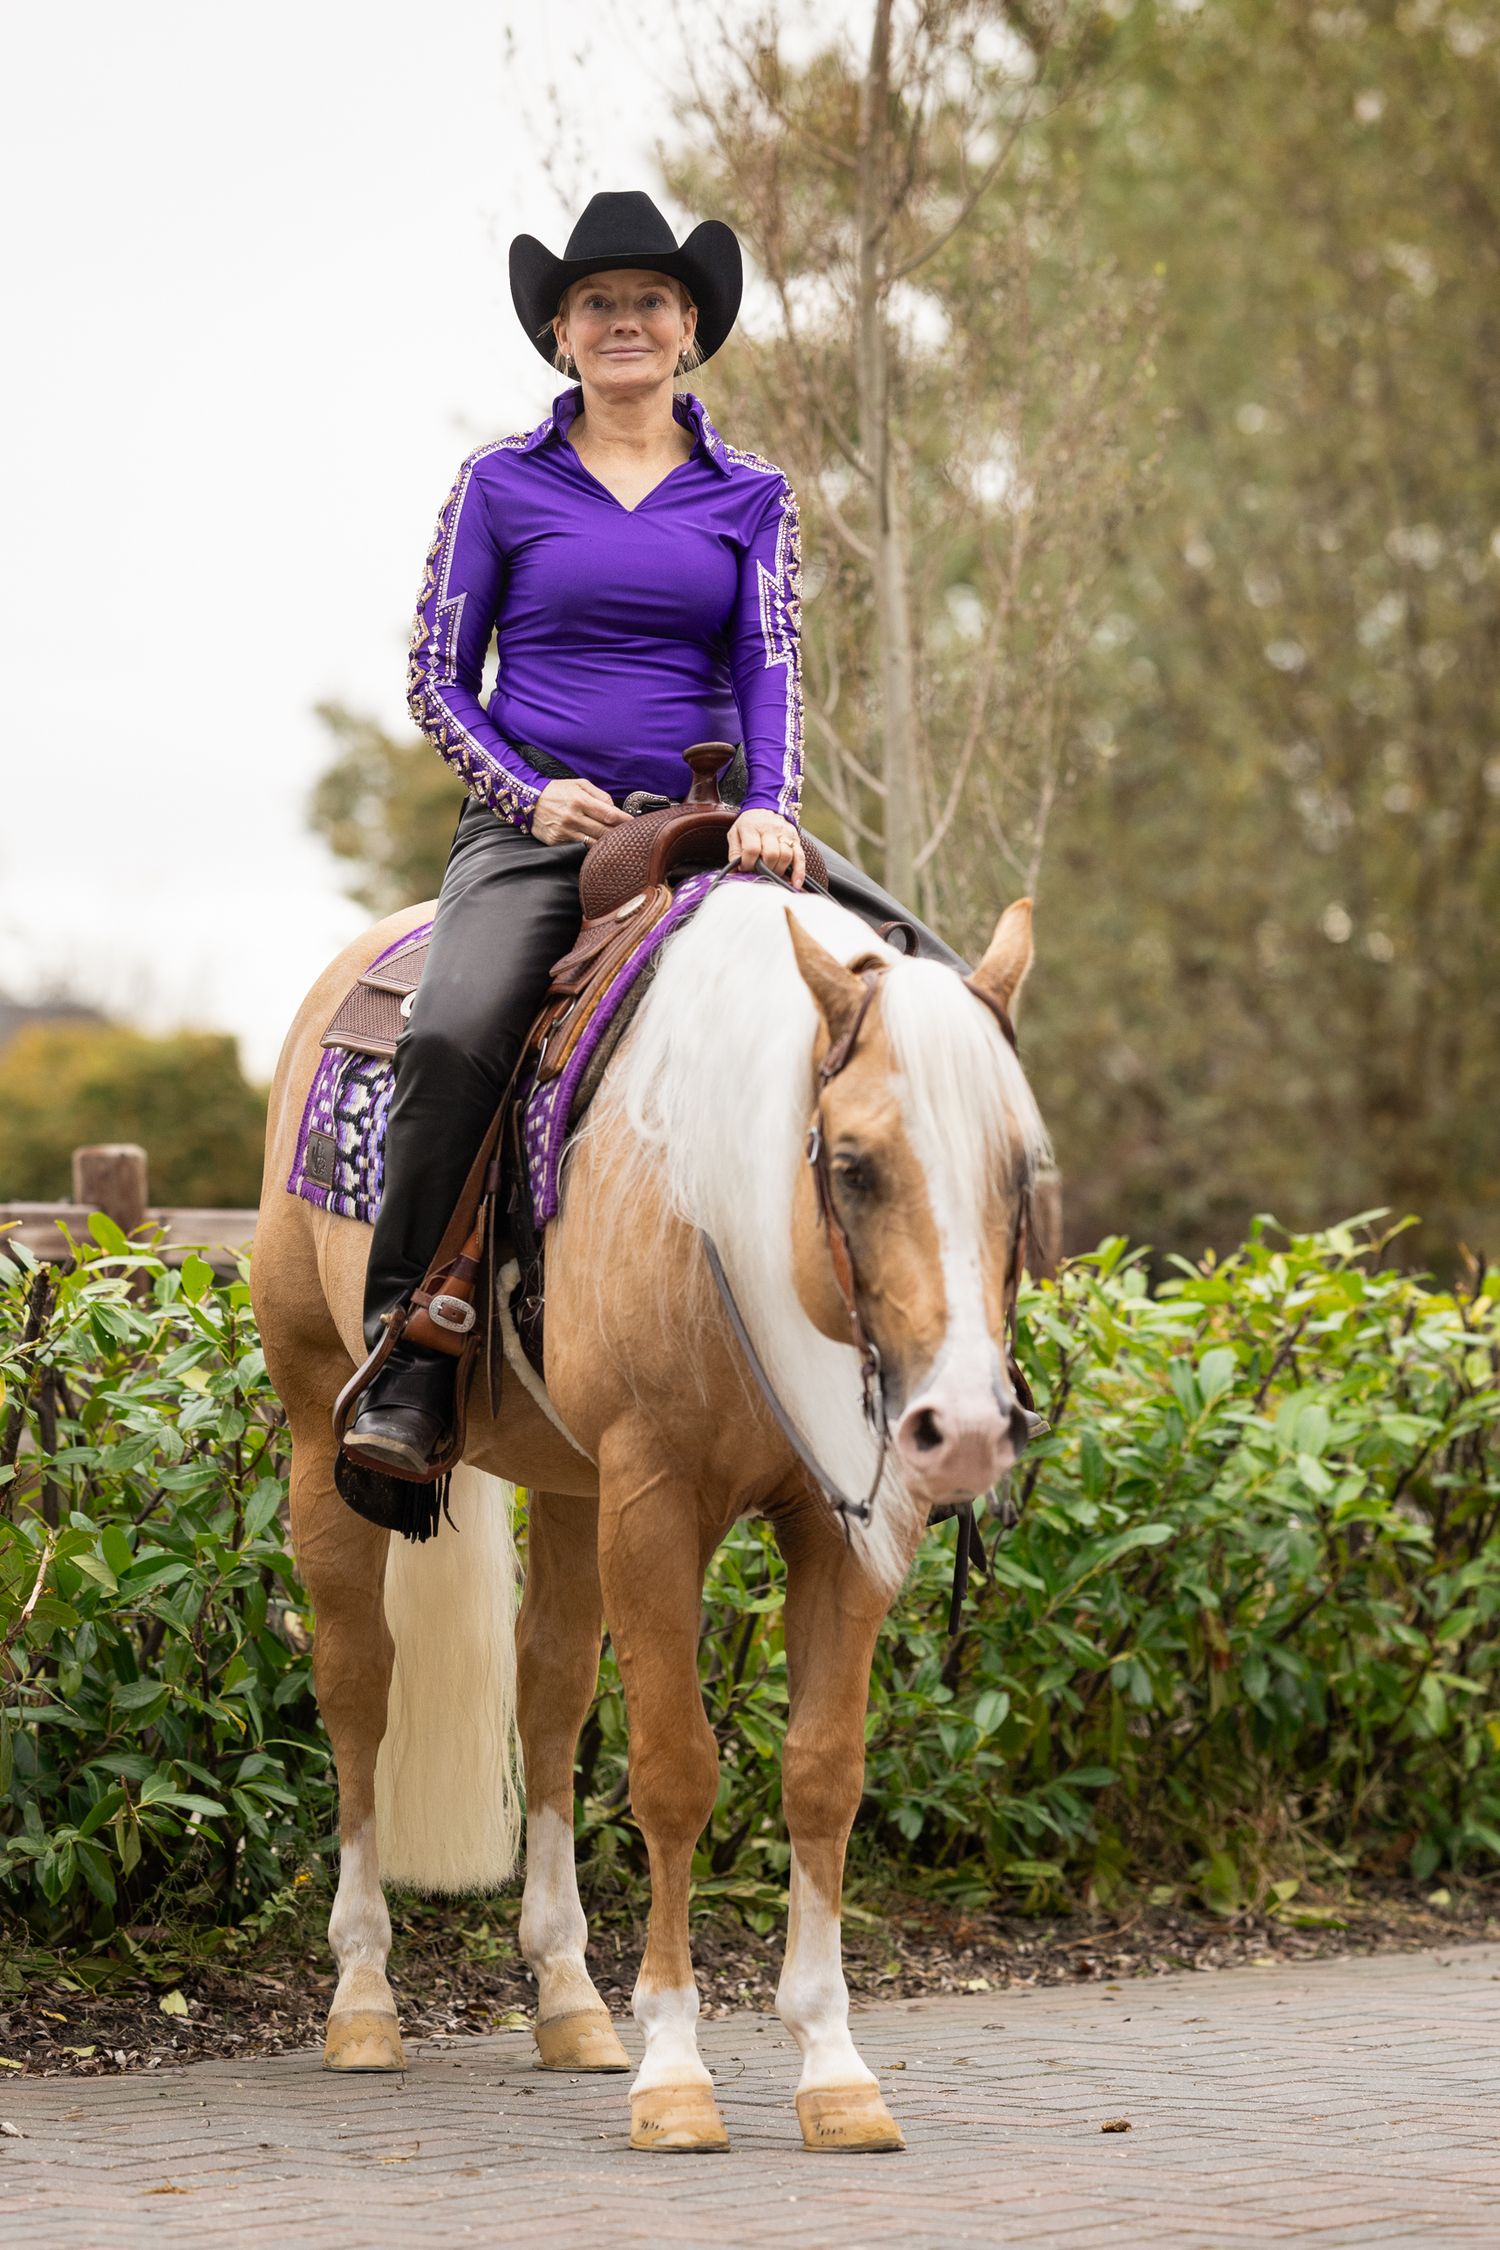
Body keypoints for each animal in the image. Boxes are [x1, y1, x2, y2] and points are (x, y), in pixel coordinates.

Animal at [251, 873, 1047, 2154]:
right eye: (856, 1164)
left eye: (1021, 1171)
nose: (967, 1426)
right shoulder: (655, 1501)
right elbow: (676, 1769)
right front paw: (676, 2074)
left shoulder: (835, 1530)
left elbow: (822, 1775)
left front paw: (833, 2067)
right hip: (328, 1442)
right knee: (358, 1690)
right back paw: (364, 1998)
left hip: (572, 1490)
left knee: (549, 1691)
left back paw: (570, 2001)